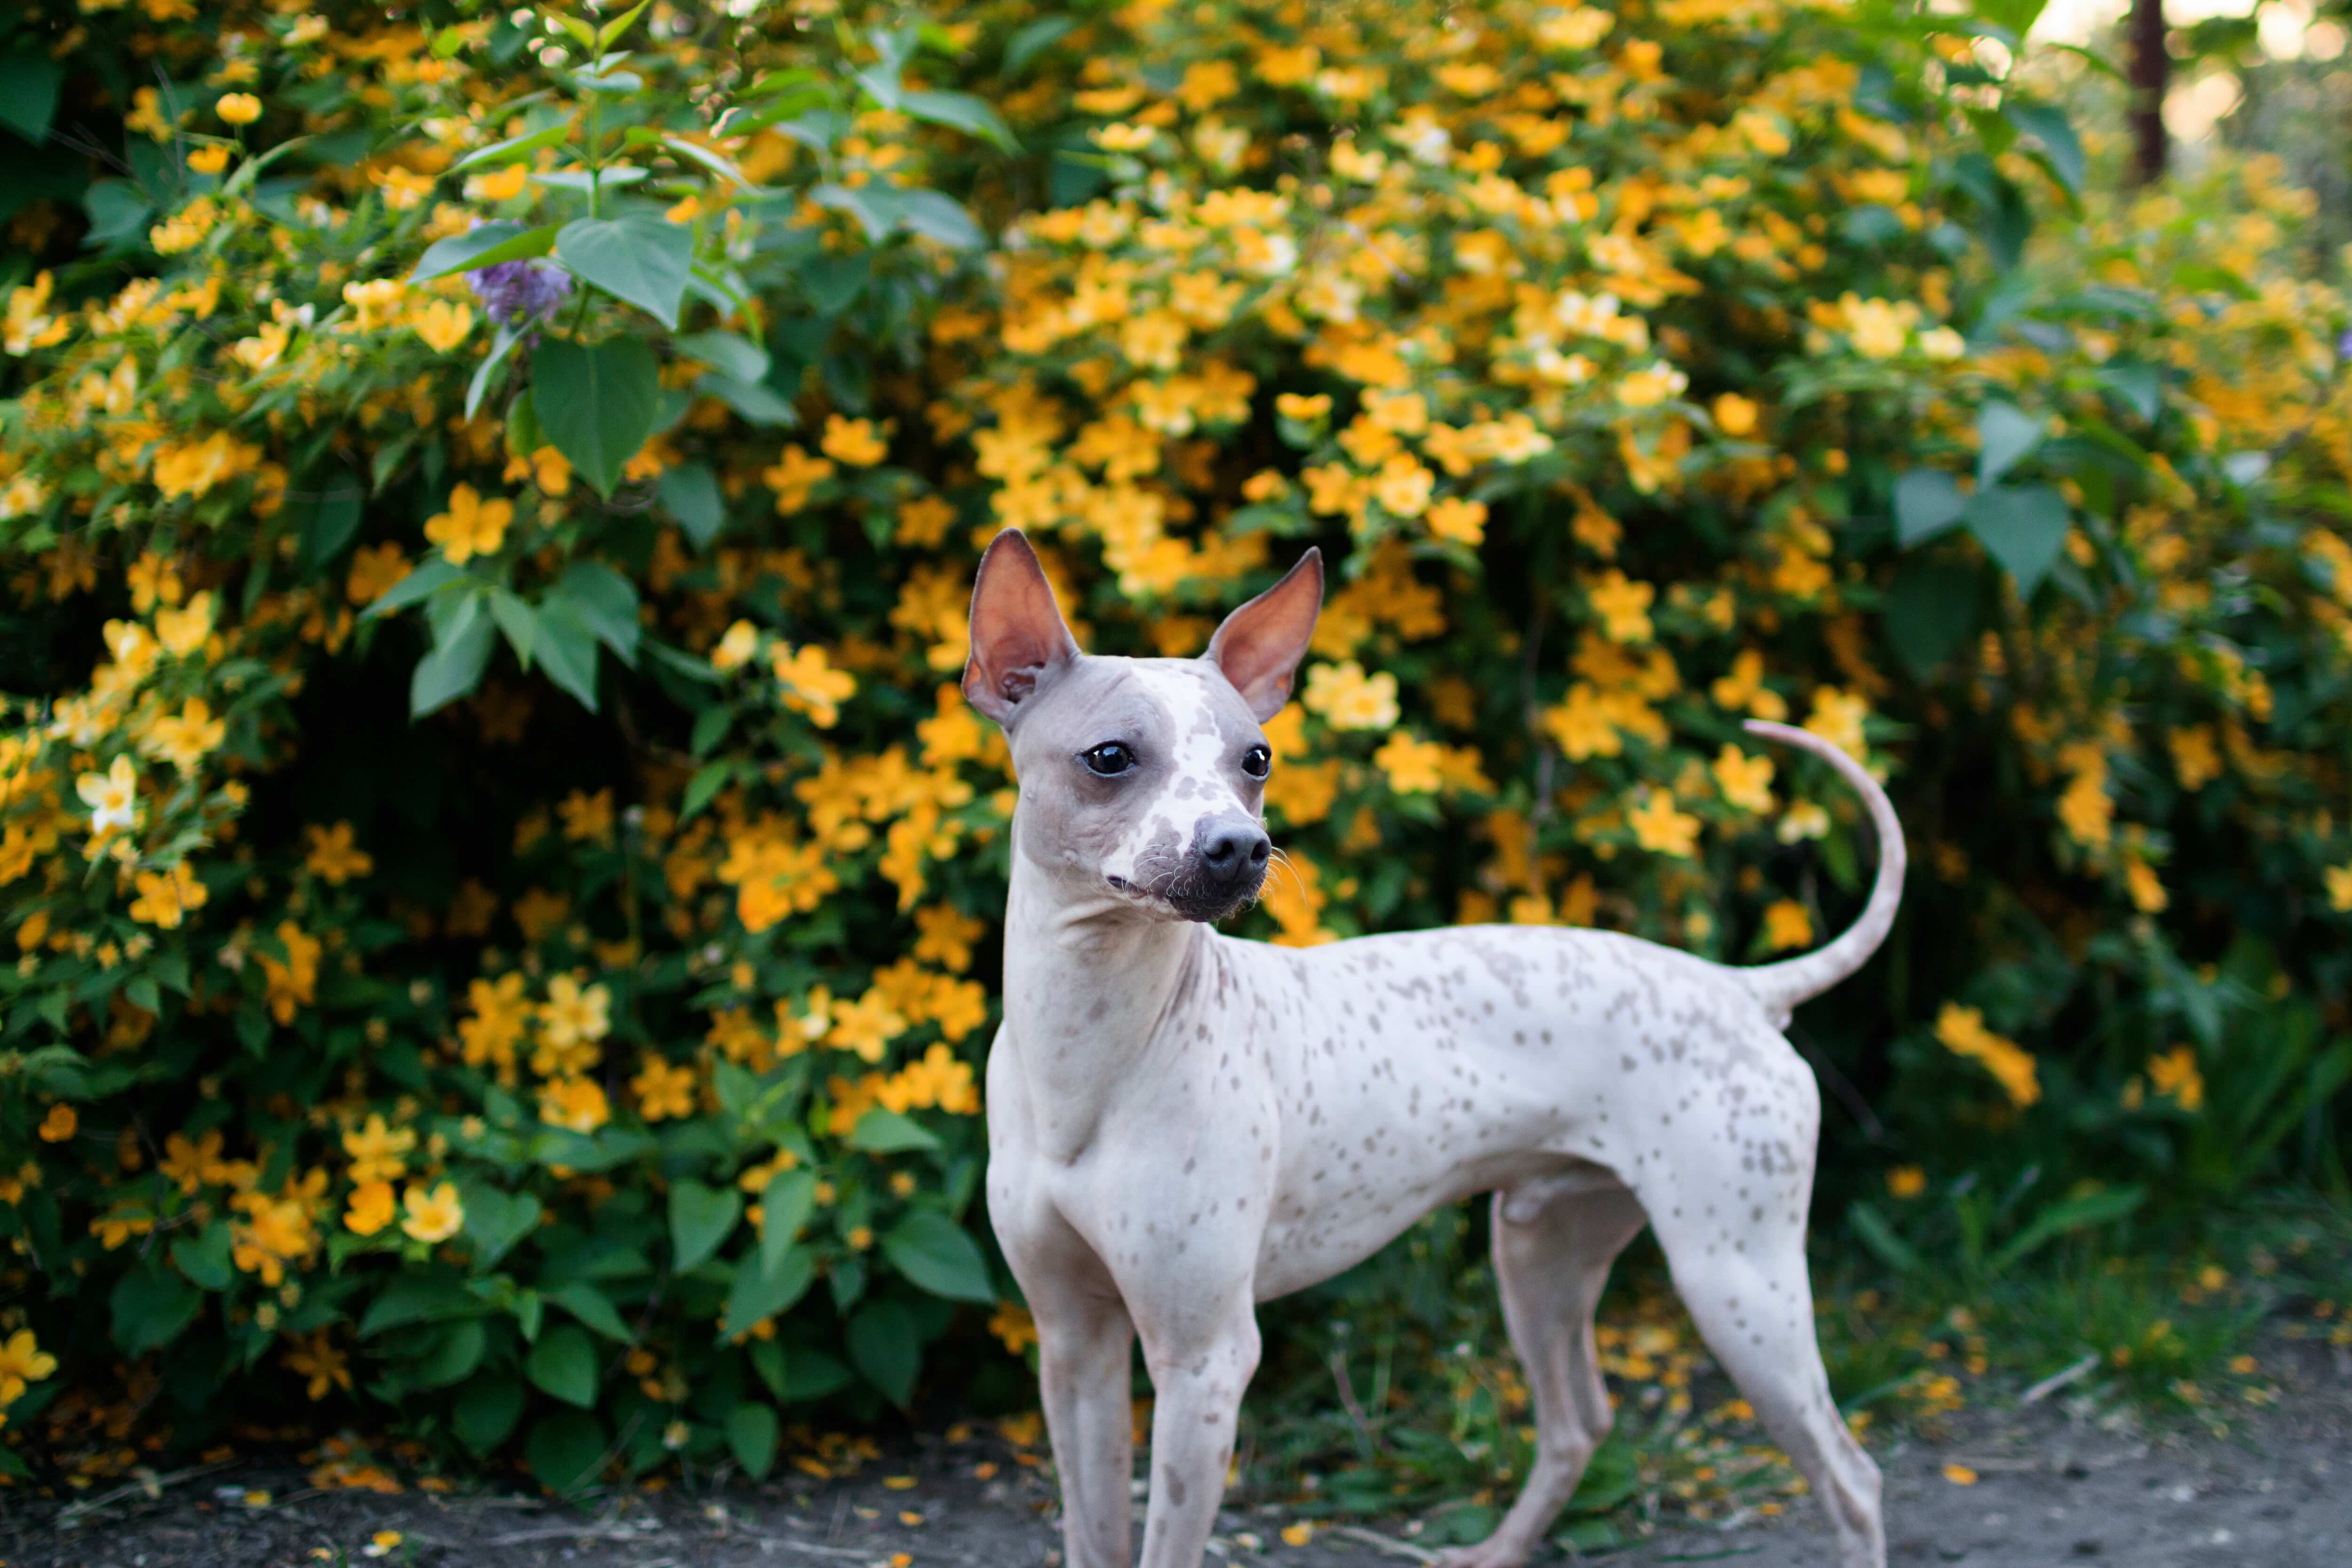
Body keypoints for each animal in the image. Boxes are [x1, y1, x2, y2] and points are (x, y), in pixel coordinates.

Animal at [964, 531, 1900, 1568]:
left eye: (1256, 757)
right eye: (1110, 756)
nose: (1240, 846)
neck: (1090, 1054)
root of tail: (1740, 989)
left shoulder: (1204, 1362)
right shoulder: (1074, 1344)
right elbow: (1092, 1531)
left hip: (1737, 1282)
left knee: (1851, 1477)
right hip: (1541, 1252)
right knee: (1579, 1421)